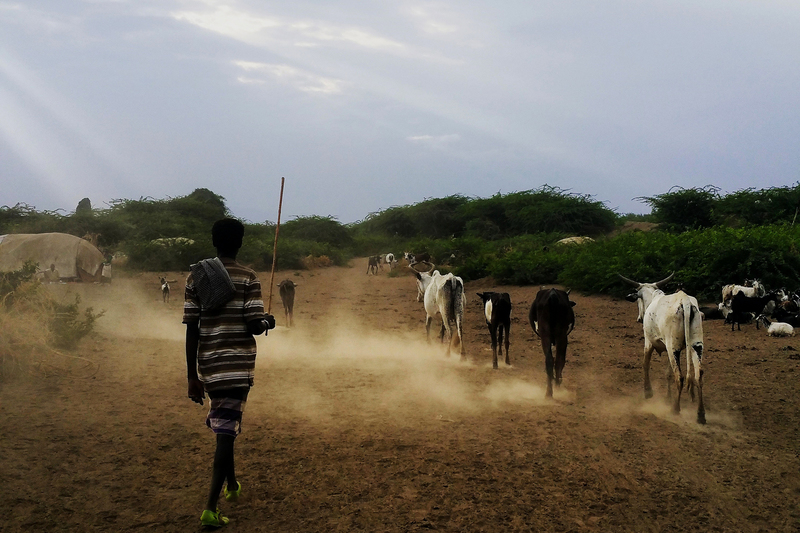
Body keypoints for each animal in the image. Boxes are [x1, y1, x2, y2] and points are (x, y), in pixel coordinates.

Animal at [620, 274, 708, 424]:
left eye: (638, 299)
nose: (639, 318)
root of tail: (685, 301)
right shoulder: (669, 349)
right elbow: (668, 373)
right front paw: (668, 397)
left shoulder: (649, 342)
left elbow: (645, 364)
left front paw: (648, 392)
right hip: (695, 346)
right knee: (698, 375)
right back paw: (700, 414)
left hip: (673, 347)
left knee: (679, 377)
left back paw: (675, 409)